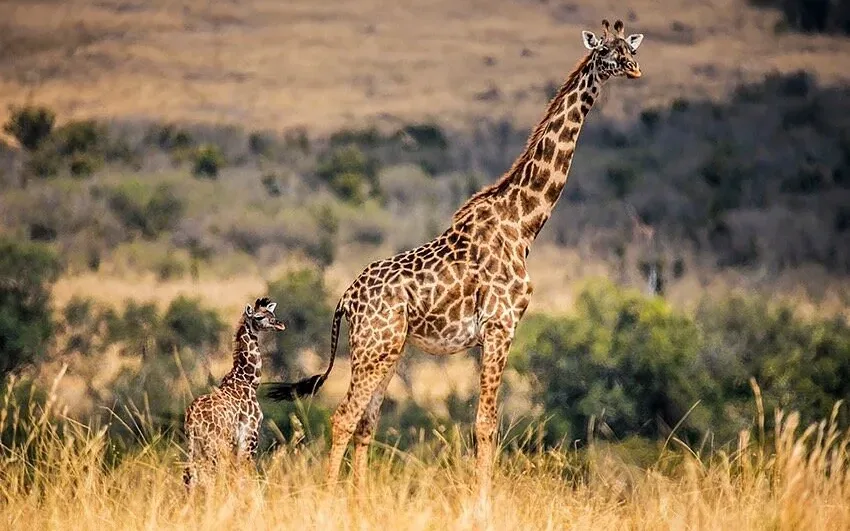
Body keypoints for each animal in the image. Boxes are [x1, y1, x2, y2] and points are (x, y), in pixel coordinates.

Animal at [183, 297, 286, 490]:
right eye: (259, 317)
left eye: (272, 313)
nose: (280, 324)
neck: (248, 381)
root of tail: (192, 418)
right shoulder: (249, 435)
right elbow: (245, 472)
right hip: (214, 444)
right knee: (208, 474)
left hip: (194, 444)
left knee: (189, 474)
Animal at [265, 18, 644, 502]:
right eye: (605, 53)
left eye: (628, 48)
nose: (633, 68)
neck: (524, 223)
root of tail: (345, 301)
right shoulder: (501, 326)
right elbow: (485, 423)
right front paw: (483, 501)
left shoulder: (490, 334)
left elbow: (482, 422)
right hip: (375, 347)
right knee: (345, 416)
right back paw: (333, 498)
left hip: (387, 349)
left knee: (367, 420)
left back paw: (360, 499)